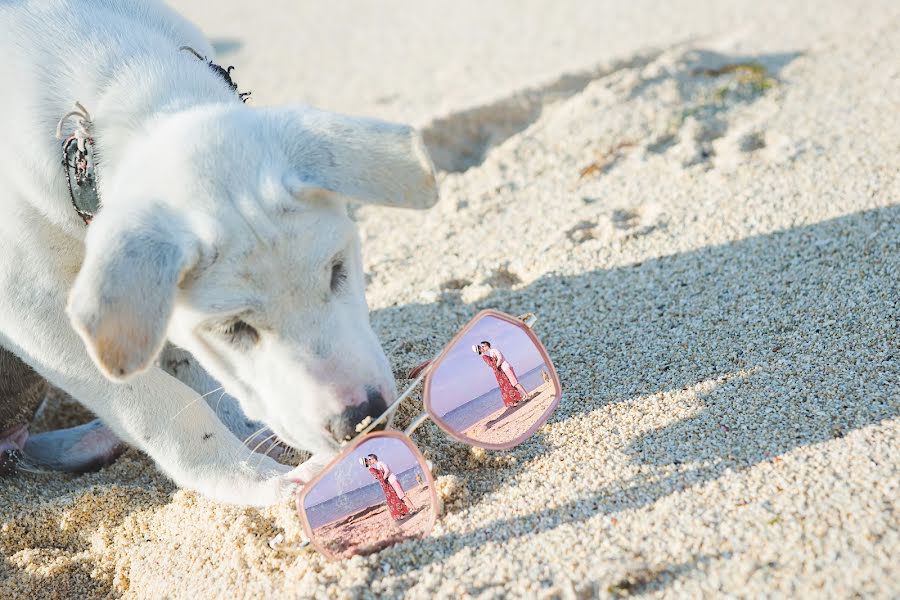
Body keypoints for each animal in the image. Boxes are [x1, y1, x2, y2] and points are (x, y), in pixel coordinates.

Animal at [0, 1, 440, 506]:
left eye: (336, 271)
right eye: (232, 328)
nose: (362, 420)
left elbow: (196, 370)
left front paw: (251, 430)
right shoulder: (32, 309)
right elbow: (157, 402)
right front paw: (255, 478)